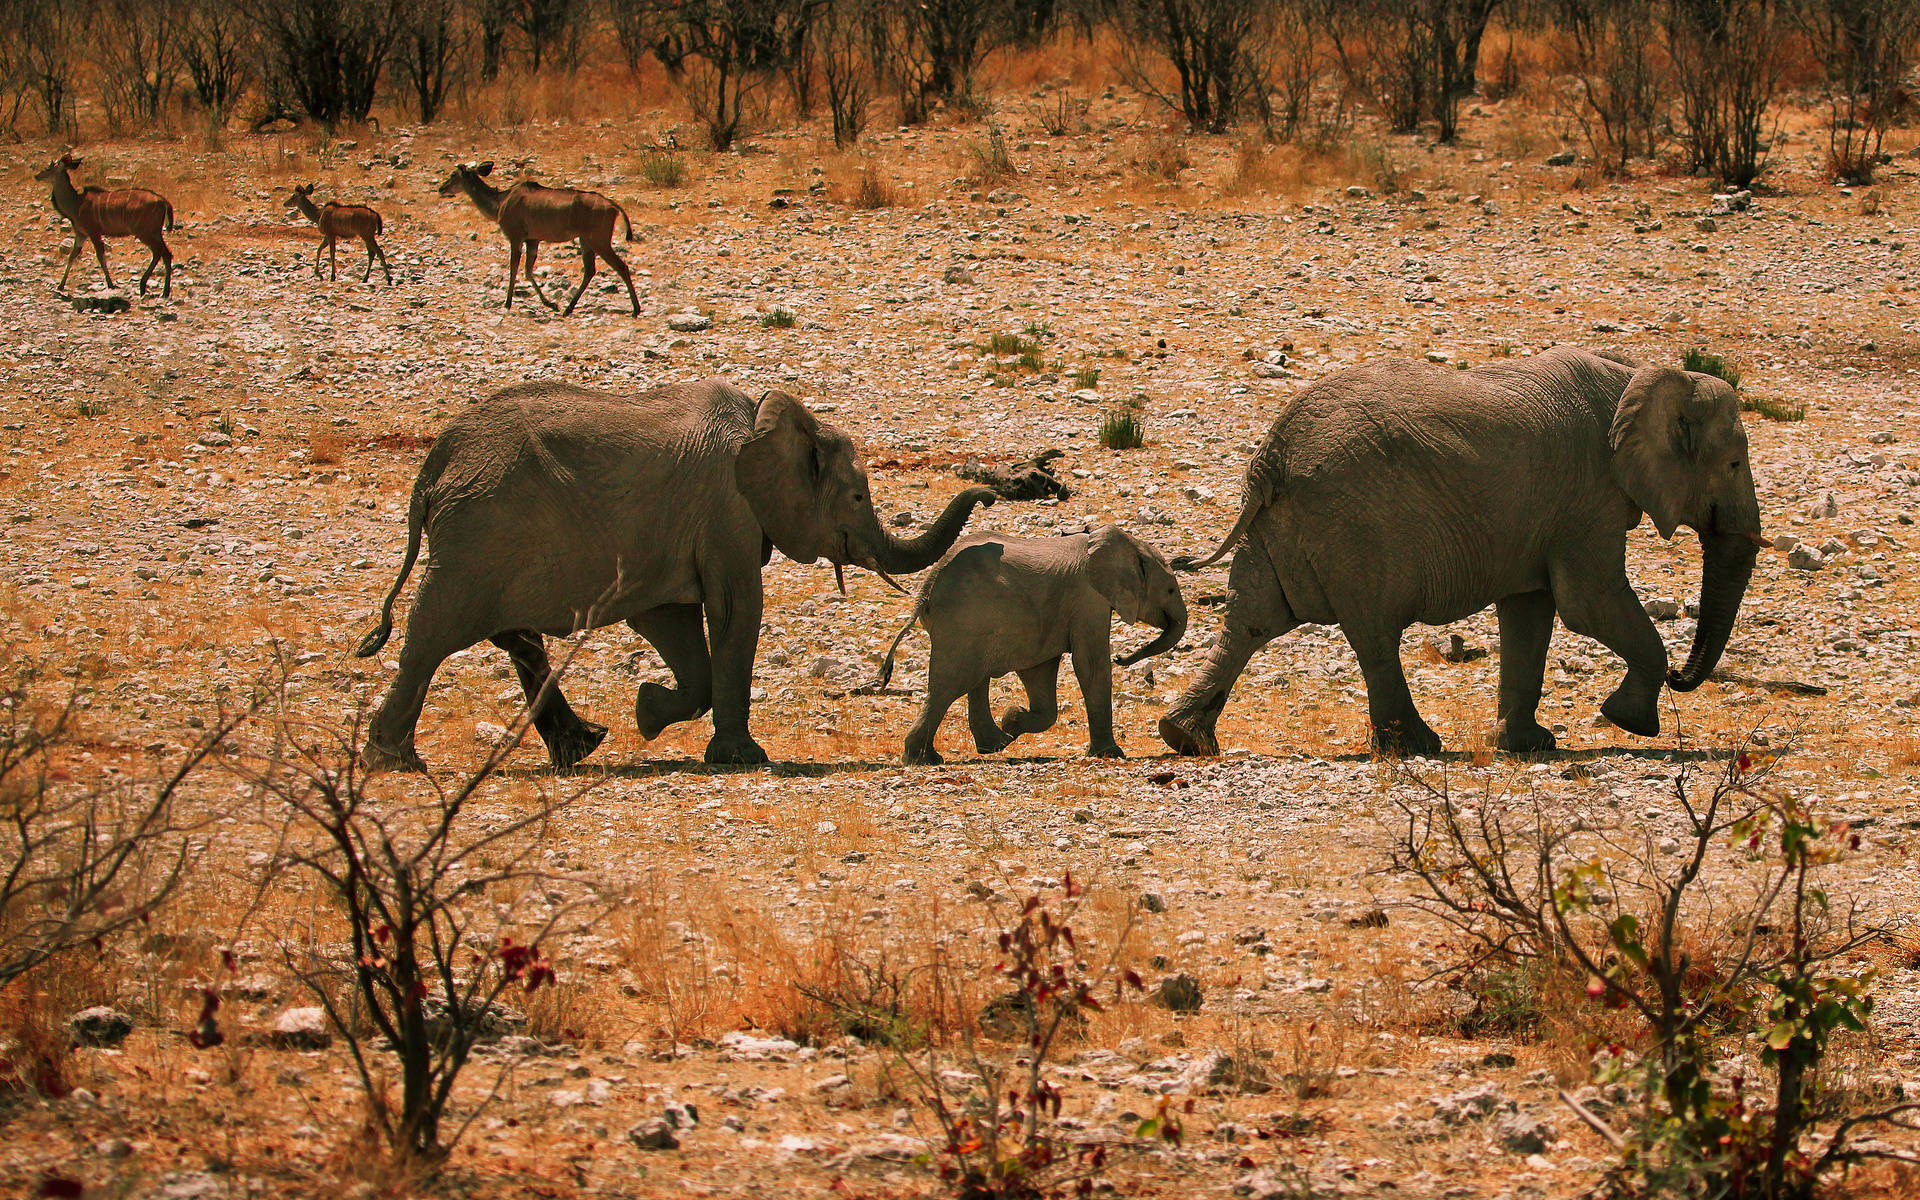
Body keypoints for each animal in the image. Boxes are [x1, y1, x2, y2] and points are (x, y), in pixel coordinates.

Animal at [353, 379, 997, 770]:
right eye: (859, 496)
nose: (992, 493)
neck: (769, 418)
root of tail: (434, 463)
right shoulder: (727, 510)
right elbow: (736, 611)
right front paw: (743, 758)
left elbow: (673, 624)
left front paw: (646, 713)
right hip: (479, 532)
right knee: (435, 630)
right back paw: (394, 761)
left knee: (513, 636)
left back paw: (582, 747)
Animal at [866, 525, 1188, 764]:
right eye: (1171, 590)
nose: (1123, 657)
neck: (1129, 546)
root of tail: (928, 584)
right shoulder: (1088, 599)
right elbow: (1090, 664)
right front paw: (1112, 754)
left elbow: (1041, 672)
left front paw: (1012, 721)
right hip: (962, 621)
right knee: (950, 685)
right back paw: (925, 759)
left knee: (973, 680)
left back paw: (990, 745)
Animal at [1159, 346, 1767, 758]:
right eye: (1735, 463)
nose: (1683, 678)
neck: (1639, 375)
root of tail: (1273, 453)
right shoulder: (1586, 498)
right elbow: (1587, 603)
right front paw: (1630, 723)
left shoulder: (1546, 515)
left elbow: (1530, 612)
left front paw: (1529, 745)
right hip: (1354, 526)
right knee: (1374, 634)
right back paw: (1418, 747)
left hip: (1287, 524)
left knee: (1252, 619)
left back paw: (1184, 739)